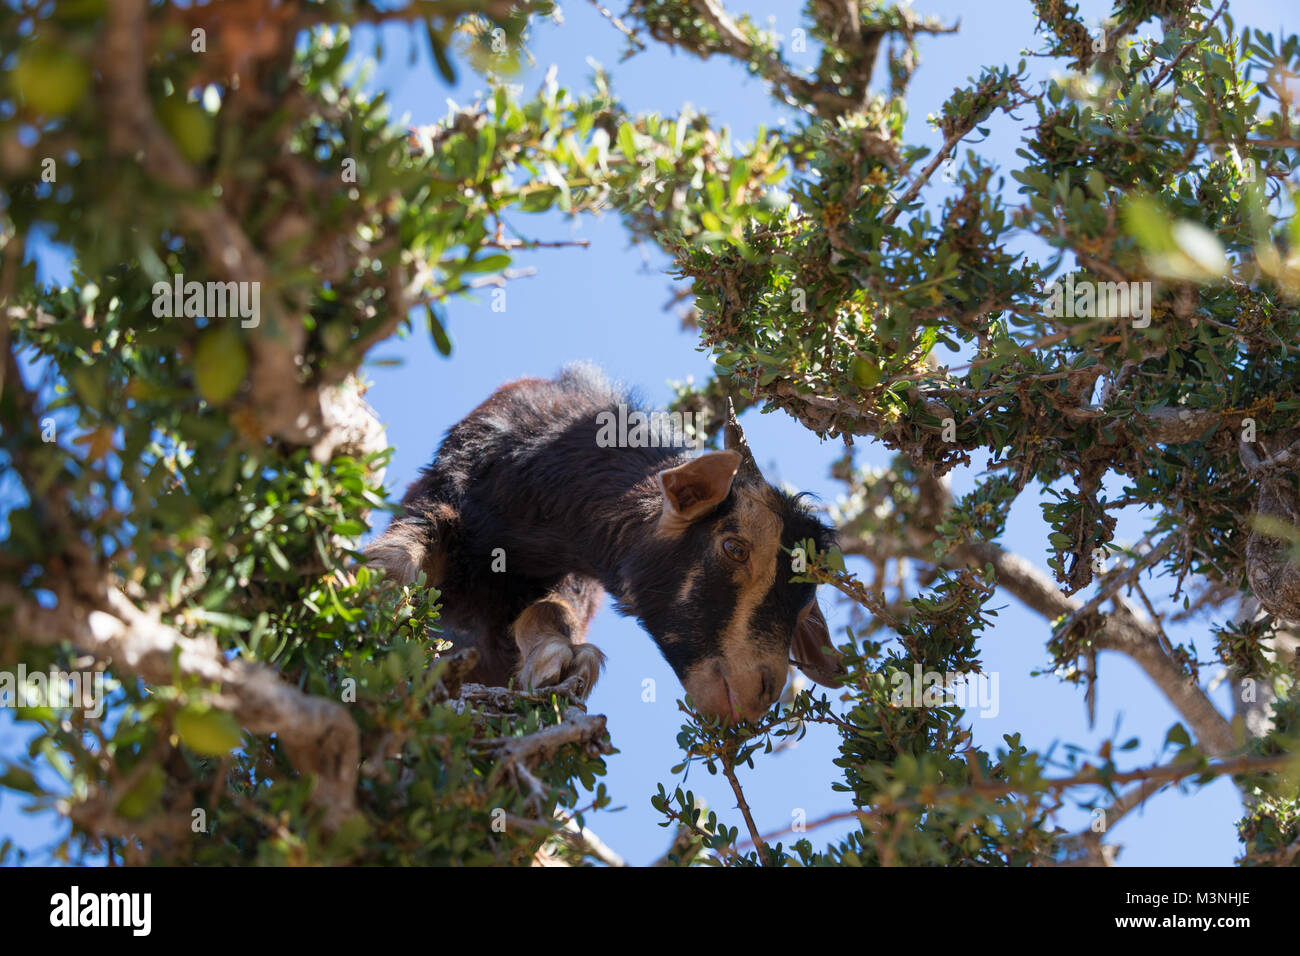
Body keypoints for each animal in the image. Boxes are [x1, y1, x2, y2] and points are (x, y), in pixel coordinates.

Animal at [366, 369, 842, 723]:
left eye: (805, 605)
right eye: (735, 547)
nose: (761, 692)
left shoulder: (576, 579)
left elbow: (550, 610)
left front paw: (563, 660)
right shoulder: (446, 493)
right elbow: (403, 555)